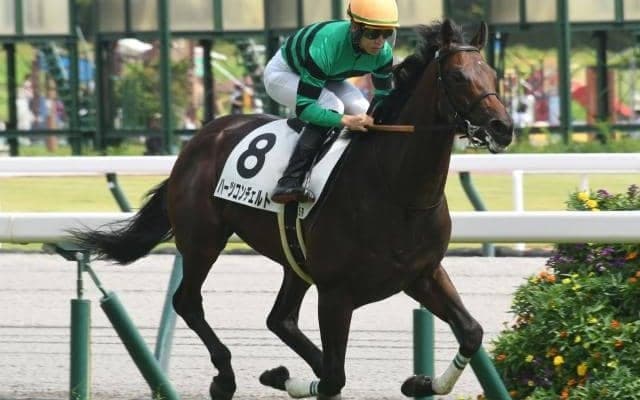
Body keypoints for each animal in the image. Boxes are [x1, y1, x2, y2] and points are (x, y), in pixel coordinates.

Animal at [72, 19, 513, 400]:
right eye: (457, 77)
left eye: (493, 75)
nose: (503, 128)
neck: (398, 192)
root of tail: (201, 137)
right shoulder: (336, 293)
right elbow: (335, 377)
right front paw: (281, 376)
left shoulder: (423, 273)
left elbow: (471, 332)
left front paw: (419, 382)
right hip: (202, 239)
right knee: (188, 302)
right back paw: (226, 377)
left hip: (293, 259)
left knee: (279, 318)